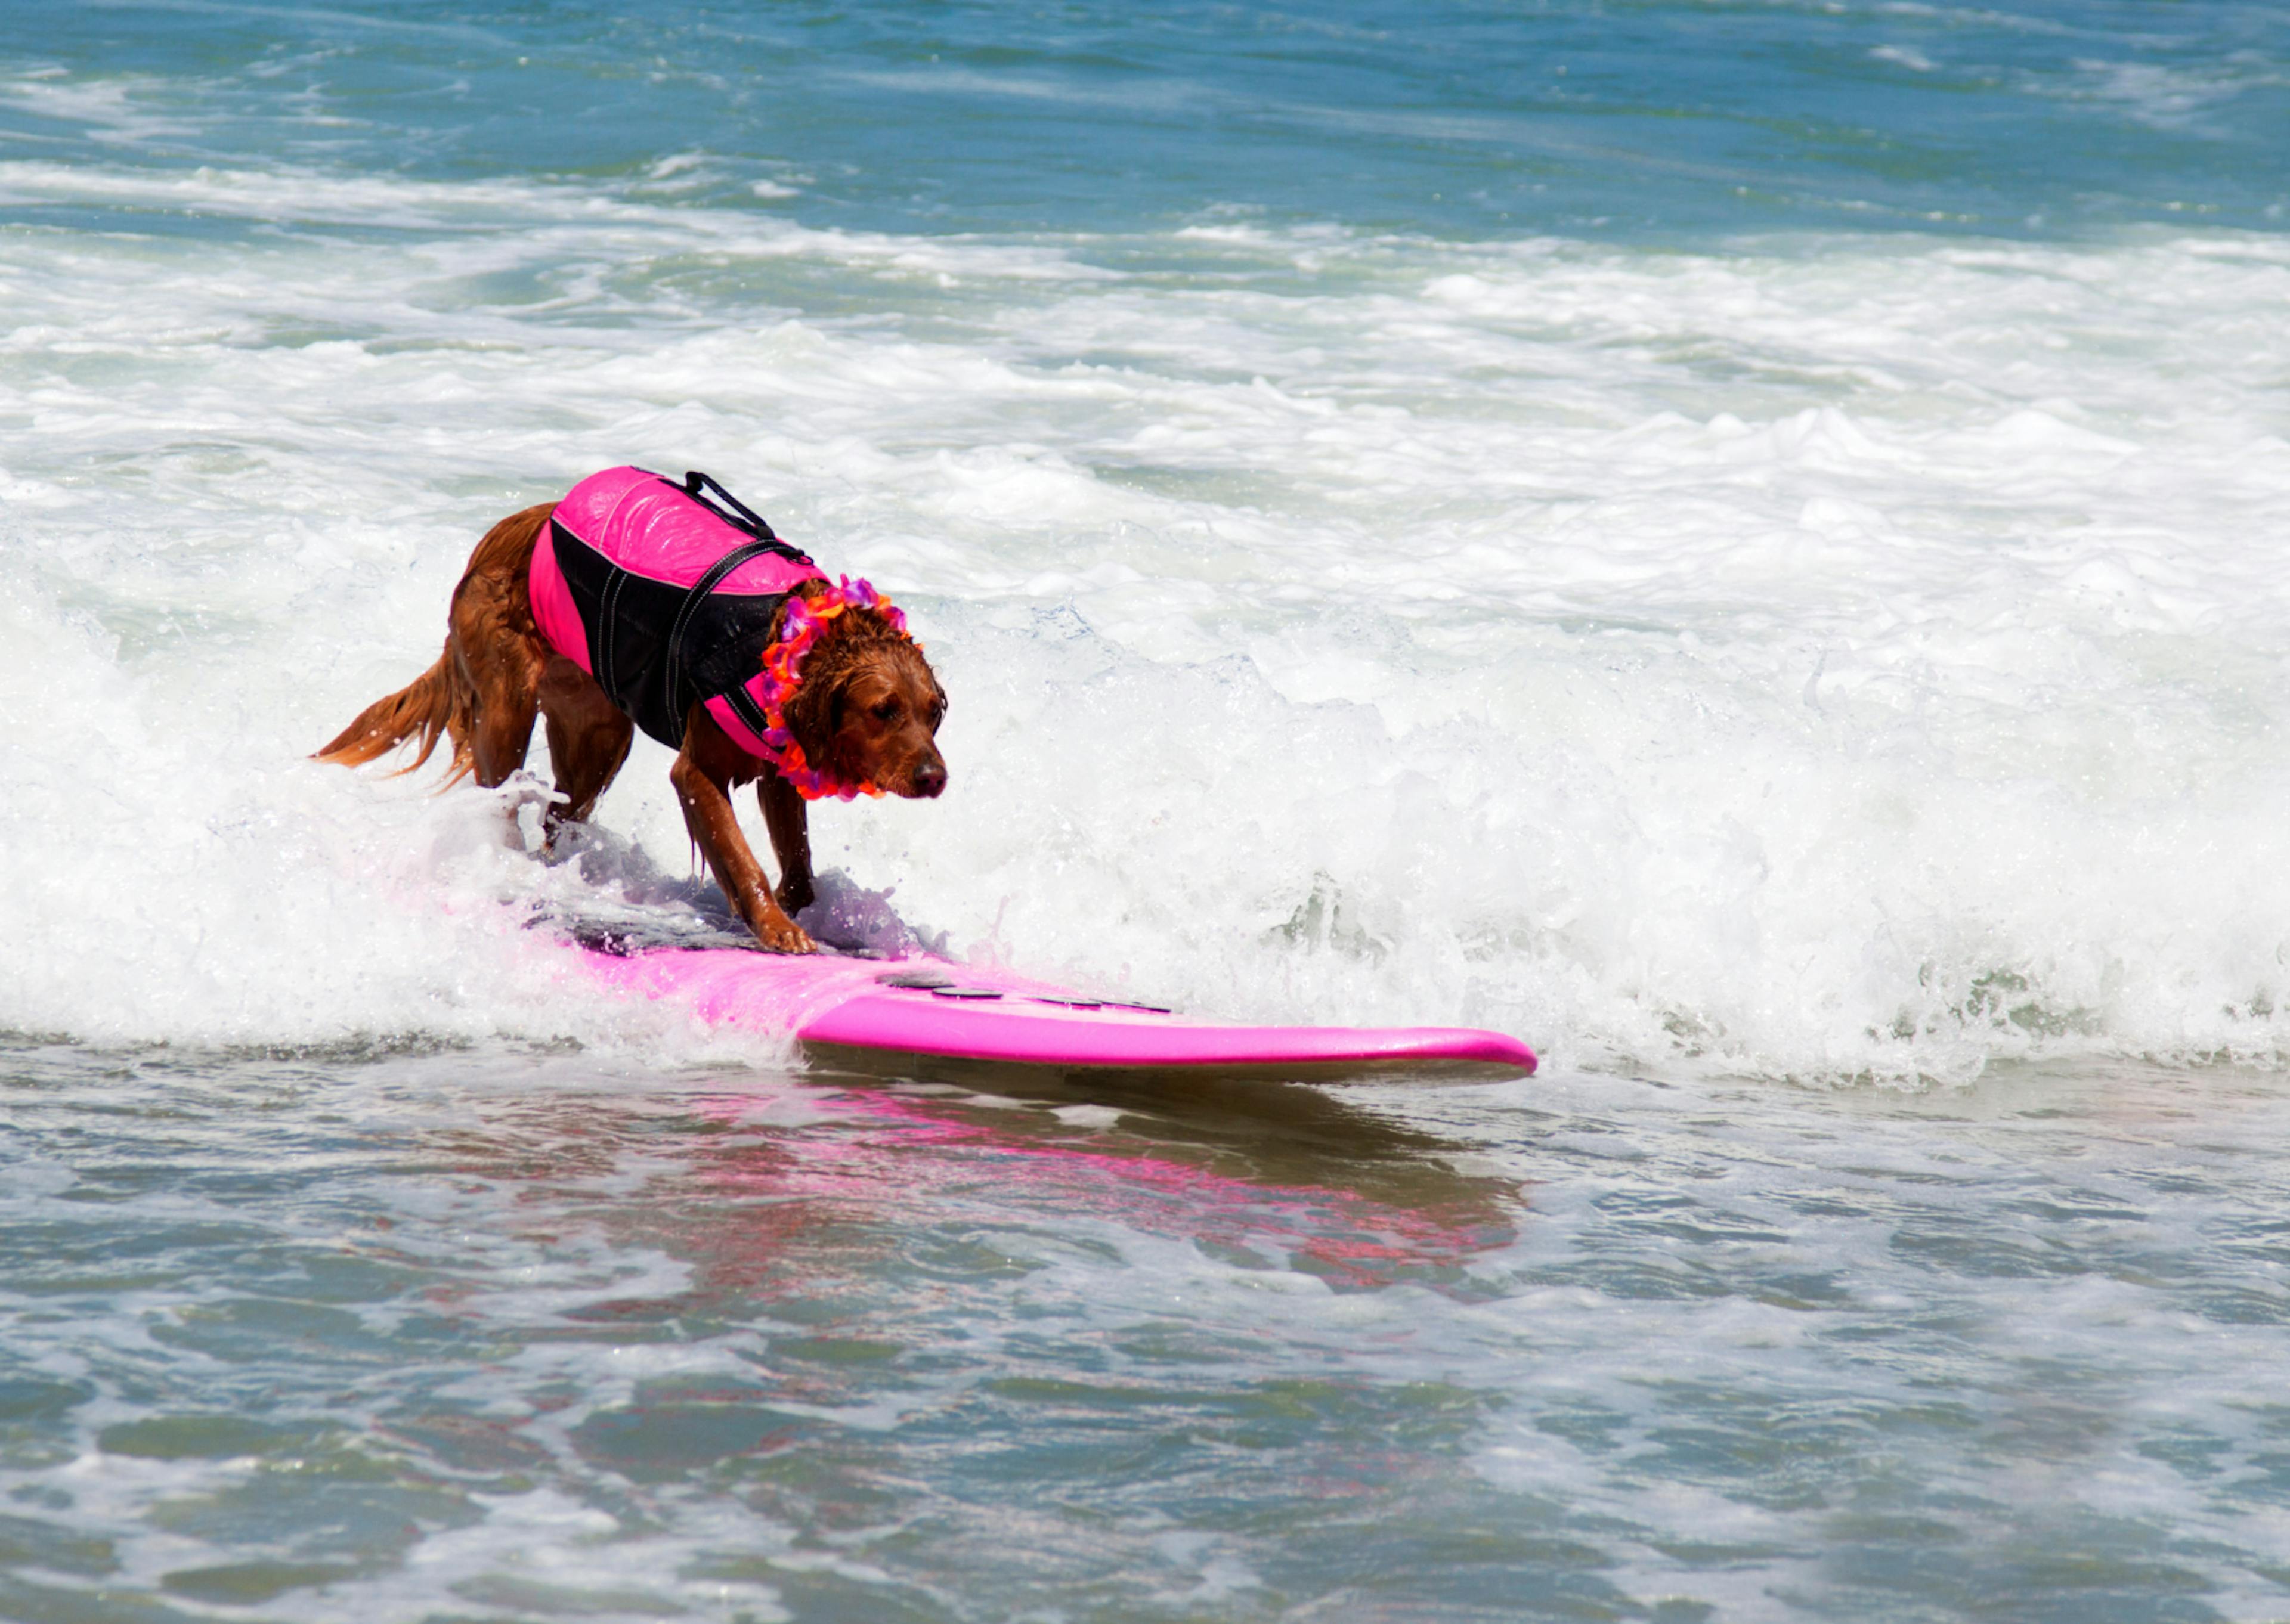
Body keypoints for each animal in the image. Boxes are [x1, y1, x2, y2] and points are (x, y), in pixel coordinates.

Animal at [311, 488, 939, 957]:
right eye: (884, 710)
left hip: (601, 736)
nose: (936, 778)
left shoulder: (780, 768)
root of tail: (501, 534)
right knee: (502, 798)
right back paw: (504, 868)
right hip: (508, 709)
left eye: (935, 712)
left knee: (561, 817)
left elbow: (802, 870)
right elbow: (740, 857)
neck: (791, 640)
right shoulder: (698, 775)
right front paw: (776, 927)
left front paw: (788, 907)